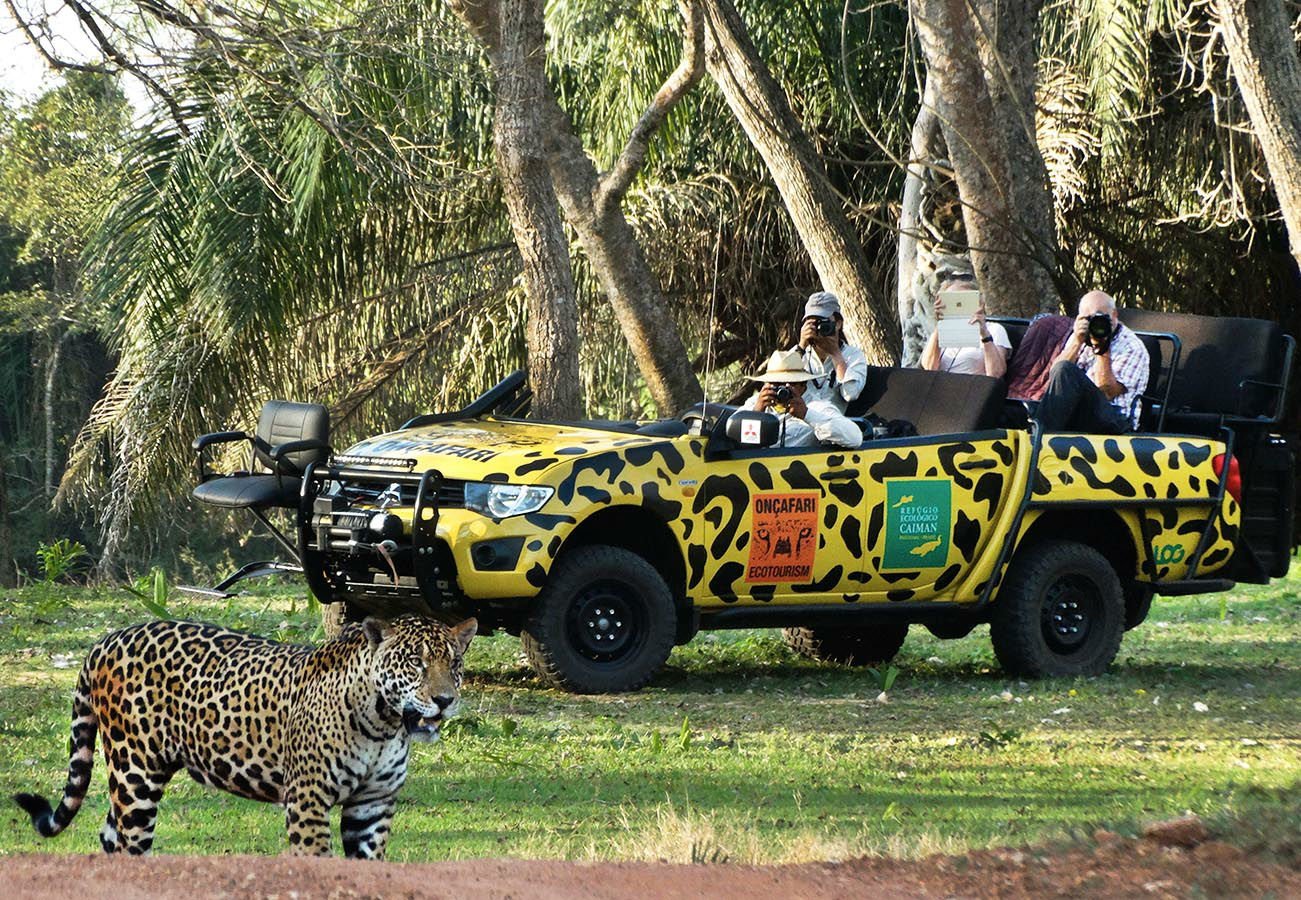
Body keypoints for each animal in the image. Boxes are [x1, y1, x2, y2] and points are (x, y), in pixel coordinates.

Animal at [13, 614, 476, 858]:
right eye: (415, 663)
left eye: (454, 664)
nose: (445, 700)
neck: (383, 725)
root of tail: (107, 639)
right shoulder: (308, 800)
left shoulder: (372, 806)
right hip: (135, 773)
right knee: (130, 843)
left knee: (111, 837)